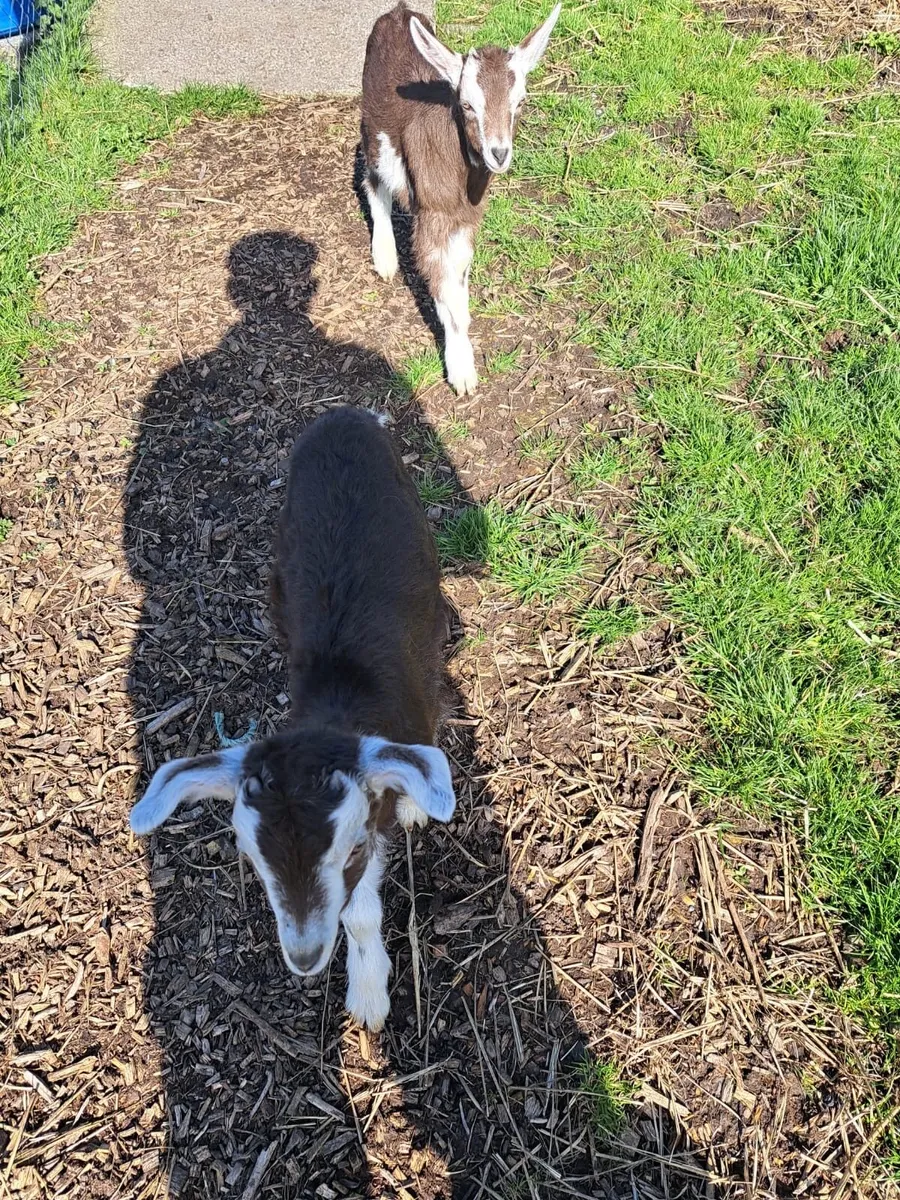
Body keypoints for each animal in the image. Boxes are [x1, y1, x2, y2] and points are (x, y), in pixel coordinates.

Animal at [360, 2, 561, 397]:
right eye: (467, 105)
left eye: (520, 102)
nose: (499, 154)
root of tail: (397, 12)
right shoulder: (433, 218)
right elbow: (446, 294)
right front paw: (462, 373)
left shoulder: (466, 219)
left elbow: (461, 288)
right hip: (373, 125)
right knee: (373, 181)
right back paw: (385, 258)